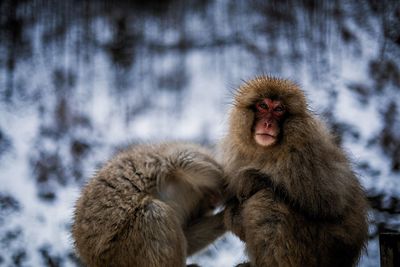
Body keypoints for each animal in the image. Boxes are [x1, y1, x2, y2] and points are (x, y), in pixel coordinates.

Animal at [72, 143, 227, 266]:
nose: (214, 201)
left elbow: (188, 238)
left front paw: (225, 218)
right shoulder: (168, 163)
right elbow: (180, 160)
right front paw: (226, 186)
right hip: (124, 248)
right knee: (152, 211)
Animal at [220, 76, 370, 267]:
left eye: (279, 109)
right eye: (263, 106)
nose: (267, 123)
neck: (268, 150)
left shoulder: (304, 155)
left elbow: (327, 202)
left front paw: (251, 178)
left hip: (319, 250)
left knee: (267, 202)